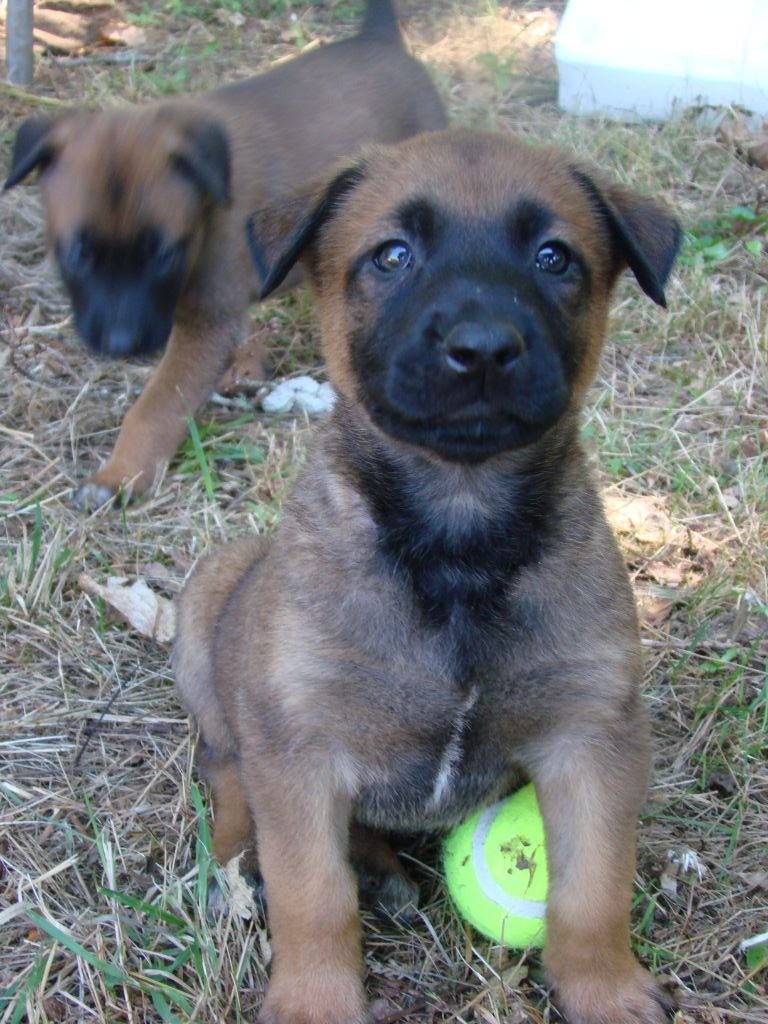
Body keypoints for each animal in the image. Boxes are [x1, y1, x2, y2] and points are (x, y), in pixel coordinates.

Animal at [3, 0, 444, 512]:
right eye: (77, 253)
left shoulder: (204, 324)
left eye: (164, 255)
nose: (120, 345)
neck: (207, 203)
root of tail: (377, 38)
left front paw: (120, 474)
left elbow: (155, 407)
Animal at [173, 130, 679, 1024]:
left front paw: (606, 989)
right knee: (225, 769)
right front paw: (314, 1002)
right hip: (209, 608)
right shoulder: (300, 745)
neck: (457, 535)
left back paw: (375, 864)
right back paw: (250, 860)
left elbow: (594, 887)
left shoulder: (592, 737)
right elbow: (313, 894)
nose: (482, 349)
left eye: (554, 256)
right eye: (393, 255)